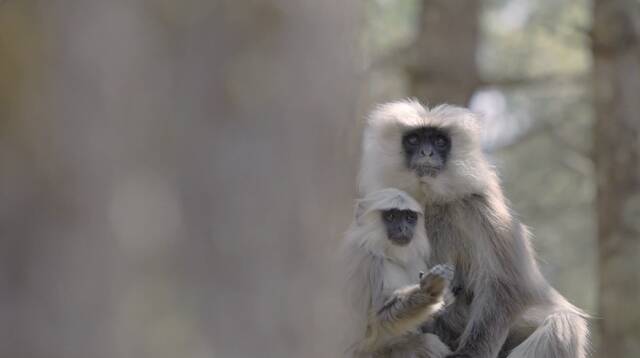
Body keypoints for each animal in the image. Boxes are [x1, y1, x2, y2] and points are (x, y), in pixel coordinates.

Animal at [344, 189, 456, 356]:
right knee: (428, 344)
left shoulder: (416, 261)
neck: (389, 255)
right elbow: (376, 323)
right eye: (391, 216)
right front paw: (431, 290)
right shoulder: (368, 262)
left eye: (409, 218)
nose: (403, 228)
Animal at [358, 100, 588, 358]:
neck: (429, 197)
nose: (427, 153)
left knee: (563, 324)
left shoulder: (477, 204)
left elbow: (506, 284)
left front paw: (468, 353)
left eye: (439, 141)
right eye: (414, 140)